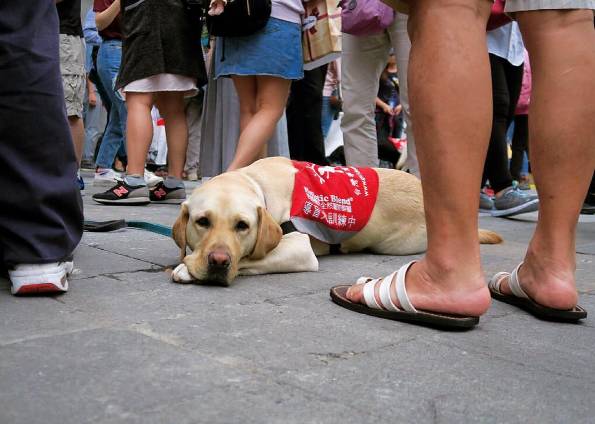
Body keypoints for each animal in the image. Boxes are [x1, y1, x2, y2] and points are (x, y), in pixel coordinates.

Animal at [172, 157, 502, 284]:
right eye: (202, 221)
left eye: (243, 226)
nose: (218, 262)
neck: (258, 183)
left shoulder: (300, 249)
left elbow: (250, 258)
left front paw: (186, 269)